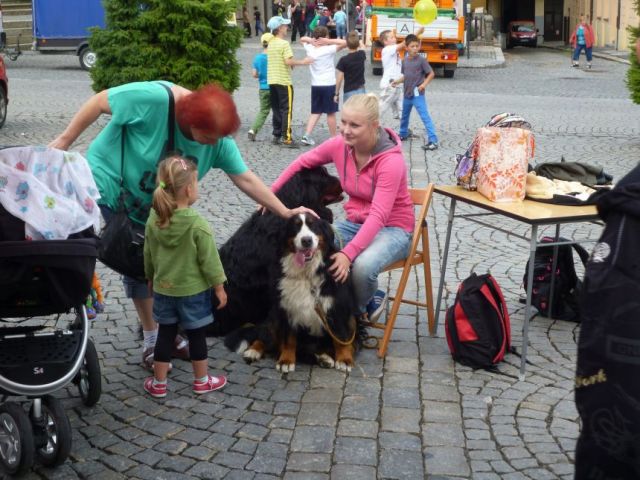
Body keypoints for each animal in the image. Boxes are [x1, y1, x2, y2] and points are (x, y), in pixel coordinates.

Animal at [224, 213, 360, 372]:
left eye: (313, 225)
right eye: (295, 227)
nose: (306, 240)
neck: (306, 274)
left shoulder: (337, 307)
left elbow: (341, 338)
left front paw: (344, 359)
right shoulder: (287, 307)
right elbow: (288, 340)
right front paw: (286, 360)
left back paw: (324, 358)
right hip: (274, 316)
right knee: (266, 337)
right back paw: (253, 351)